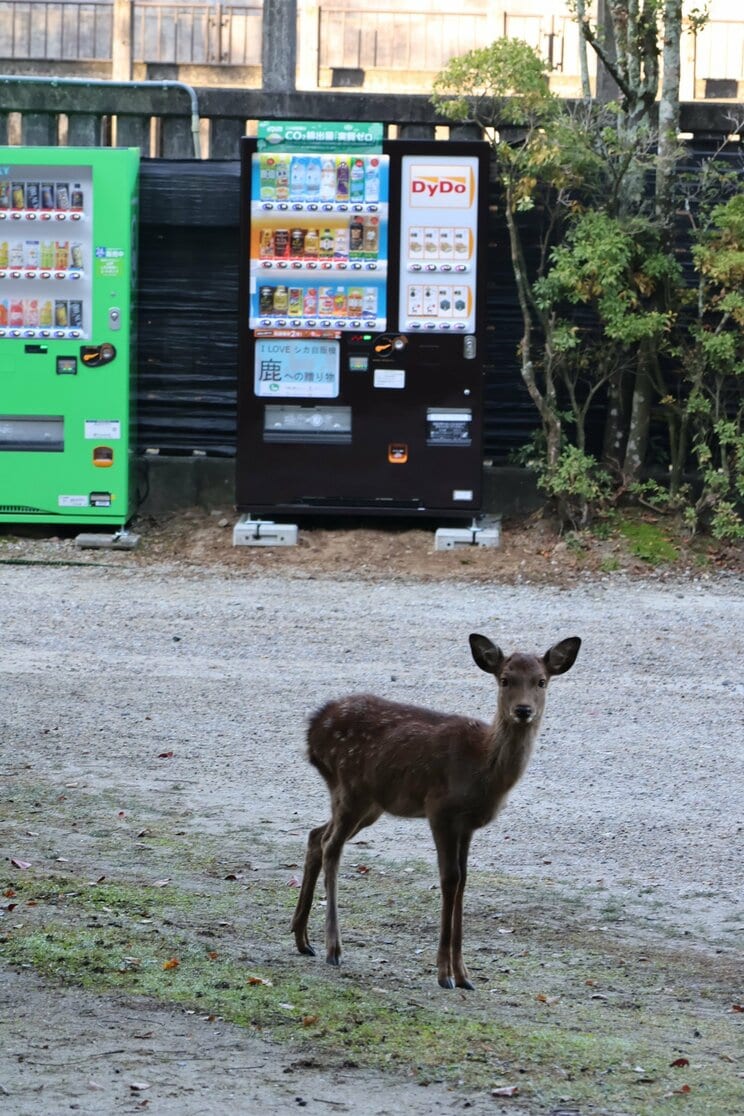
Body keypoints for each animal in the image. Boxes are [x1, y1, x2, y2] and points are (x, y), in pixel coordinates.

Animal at [290, 633, 580, 991]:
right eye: (505, 679)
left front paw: (464, 975)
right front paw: (444, 974)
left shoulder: (468, 824)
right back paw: (333, 947)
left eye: (541, 681)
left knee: (316, 835)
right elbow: (449, 878)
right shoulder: (439, 809)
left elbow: (464, 880)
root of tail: (312, 730)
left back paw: (302, 938)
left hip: (369, 804)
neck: (481, 767)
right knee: (332, 846)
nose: (523, 710)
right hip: (350, 787)